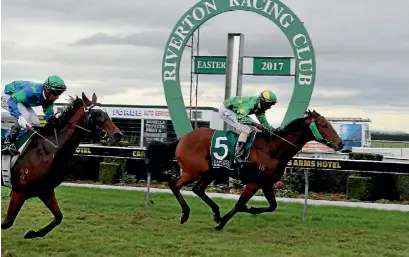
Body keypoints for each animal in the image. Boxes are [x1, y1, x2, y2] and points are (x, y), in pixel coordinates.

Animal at [1, 92, 122, 238]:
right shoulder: (19, 191)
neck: (48, 150)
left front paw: (31, 233)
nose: (118, 134)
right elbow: (7, 222)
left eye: (105, 112)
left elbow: (58, 217)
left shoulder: (45, 190)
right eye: (97, 113)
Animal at [145, 109, 342, 229]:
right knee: (174, 184)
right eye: (324, 125)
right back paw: (186, 214)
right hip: (194, 171)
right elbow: (240, 204)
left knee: (197, 189)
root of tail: (183, 139)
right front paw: (222, 223)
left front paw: (249, 210)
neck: (273, 149)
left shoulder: (267, 183)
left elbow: (272, 206)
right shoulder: (254, 182)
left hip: (209, 172)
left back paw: (215, 212)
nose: (340, 143)